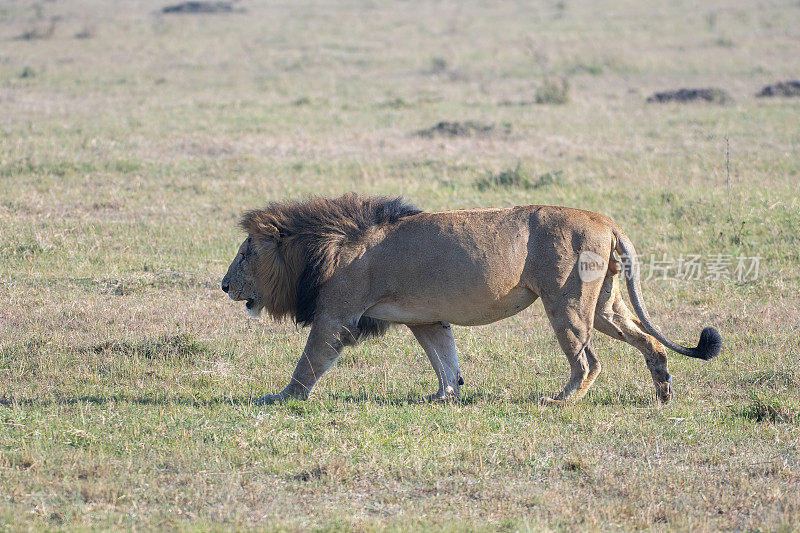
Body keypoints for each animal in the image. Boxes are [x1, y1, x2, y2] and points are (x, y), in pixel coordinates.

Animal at [222, 192, 720, 404]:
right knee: (650, 342)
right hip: (604, 308)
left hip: (566, 304)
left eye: (245, 254)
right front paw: (445, 396)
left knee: (589, 361)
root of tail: (605, 219)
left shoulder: (336, 315)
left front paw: (281, 398)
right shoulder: (424, 318)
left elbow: (308, 362)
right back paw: (663, 392)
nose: (225, 285)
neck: (330, 245)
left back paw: (562, 400)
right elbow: (445, 358)